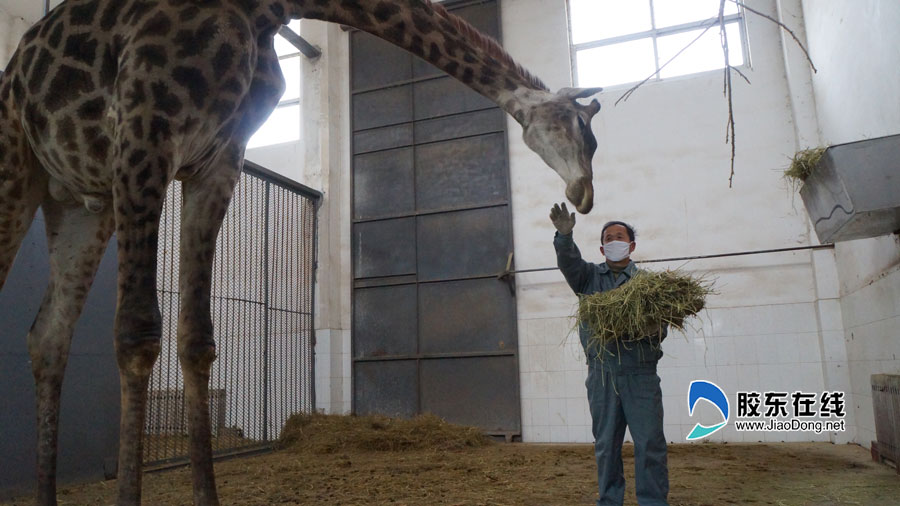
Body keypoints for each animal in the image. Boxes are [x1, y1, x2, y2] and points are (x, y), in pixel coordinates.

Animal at [1, 0, 604, 506]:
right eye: (586, 132)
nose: (584, 194)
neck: (263, 10)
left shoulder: (217, 160)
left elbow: (197, 340)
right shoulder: (145, 130)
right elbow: (137, 332)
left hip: (80, 201)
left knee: (47, 335)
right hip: (20, 166)